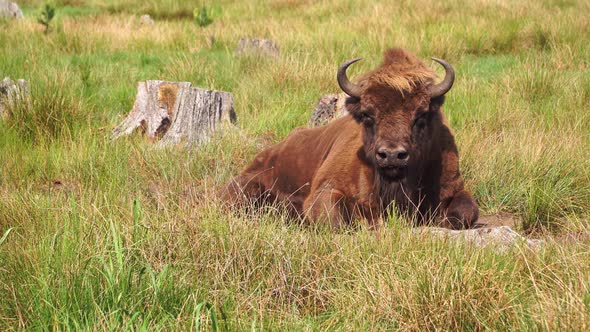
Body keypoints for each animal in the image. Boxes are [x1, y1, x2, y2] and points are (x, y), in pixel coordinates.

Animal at [225, 48, 480, 230]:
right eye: (367, 114)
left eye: (421, 114)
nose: (391, 155)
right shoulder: (325, 191)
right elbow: (335, 219)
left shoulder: (454, 187)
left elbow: (467, 212)